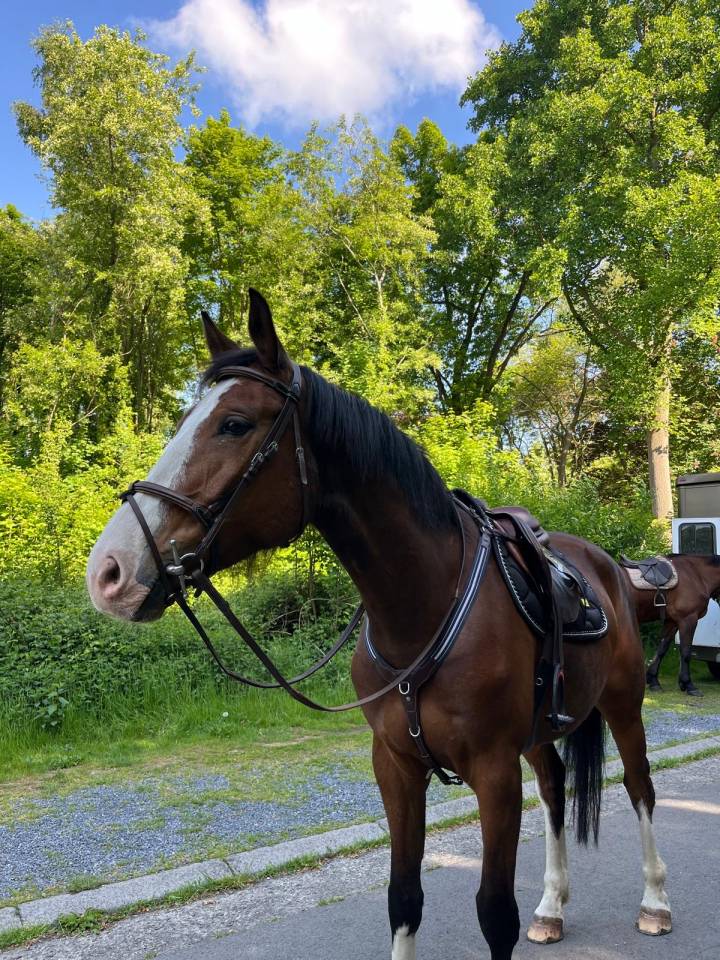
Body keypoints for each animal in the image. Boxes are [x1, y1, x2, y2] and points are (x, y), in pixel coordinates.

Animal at [86, 290, 671, 960]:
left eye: (233, 423)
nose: (109, 571)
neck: (423, 608)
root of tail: (608, 566)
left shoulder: (494, 775)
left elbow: (494, 912)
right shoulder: (394, 766)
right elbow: (404, 898)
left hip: (623, 704)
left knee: (640, 787)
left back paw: (655, 903)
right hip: (541, 734)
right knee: (554, 788)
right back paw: (551, 909)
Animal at [629, 554, 720, 696]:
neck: (697, 575)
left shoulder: (672, 622)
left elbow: (662, 649)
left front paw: (653, 681)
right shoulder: (688, 619)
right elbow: (686, 652)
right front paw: (688, 685)